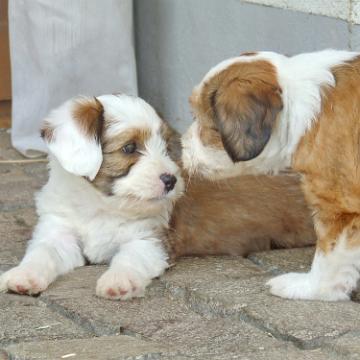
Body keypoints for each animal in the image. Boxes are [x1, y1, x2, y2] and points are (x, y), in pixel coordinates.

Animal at [0, 94, 184, 300]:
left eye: (165, 147)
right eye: (129, 147)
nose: (171, 180)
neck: (100, 205)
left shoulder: (150, 239)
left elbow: (131, 257)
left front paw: (119, 280)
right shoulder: (59, 232)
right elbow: (42, 251)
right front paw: (24, 274)